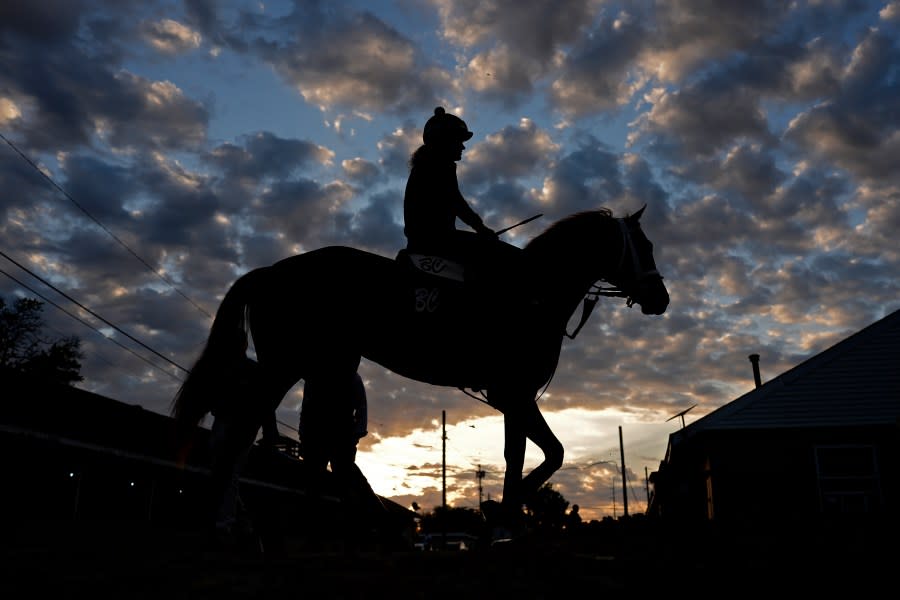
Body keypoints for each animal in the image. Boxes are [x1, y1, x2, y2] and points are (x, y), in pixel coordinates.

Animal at [174, 205, 668, 536]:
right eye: (644, 246)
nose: (661, 299)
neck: (534, 293)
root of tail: (270, 271)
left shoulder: (513, 398)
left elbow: (521, 457)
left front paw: (502, 519)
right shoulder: (515, 394)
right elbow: (551, 454)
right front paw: (499, 515)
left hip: (327, 366)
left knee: (321, 447)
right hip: (286, 365)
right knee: (249, 433)